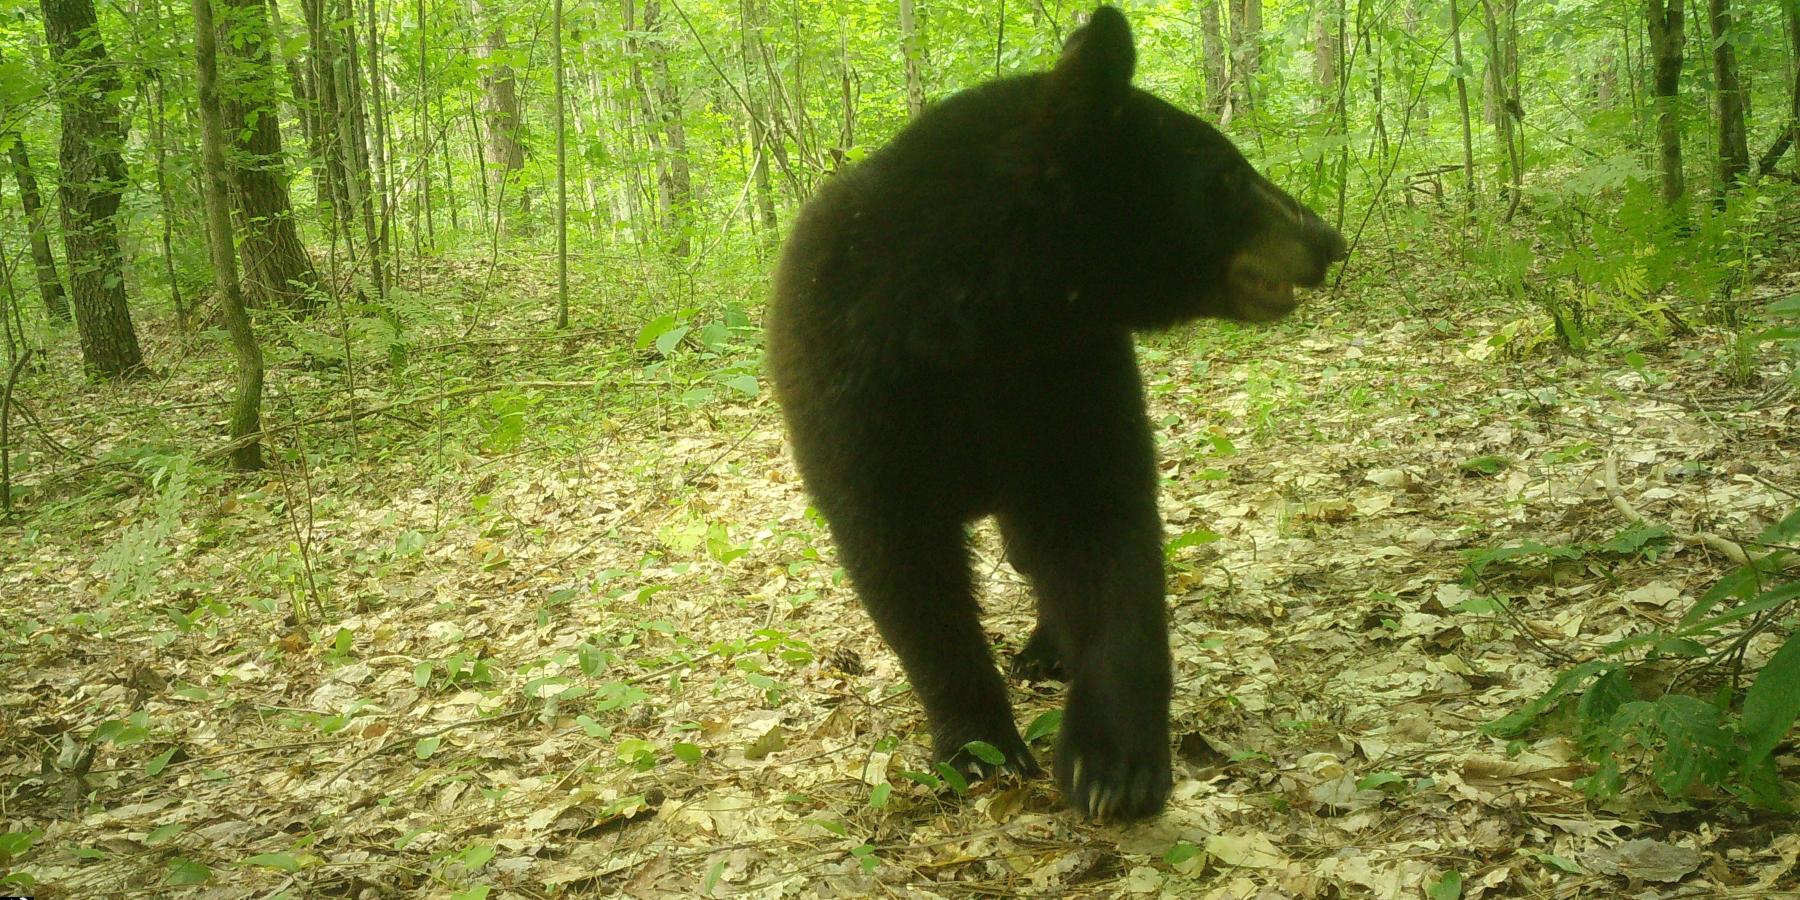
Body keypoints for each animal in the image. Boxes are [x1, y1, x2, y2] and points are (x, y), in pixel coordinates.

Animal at [765, 5, 1345, 821]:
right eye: (1227, 174)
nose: (1329, 236)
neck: (980, 321)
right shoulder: (857, 394)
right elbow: (903, 562)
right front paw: (978, 743)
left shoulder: (1065, 376)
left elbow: (1099, 529)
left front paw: (1115, 761)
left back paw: (1046, 649)